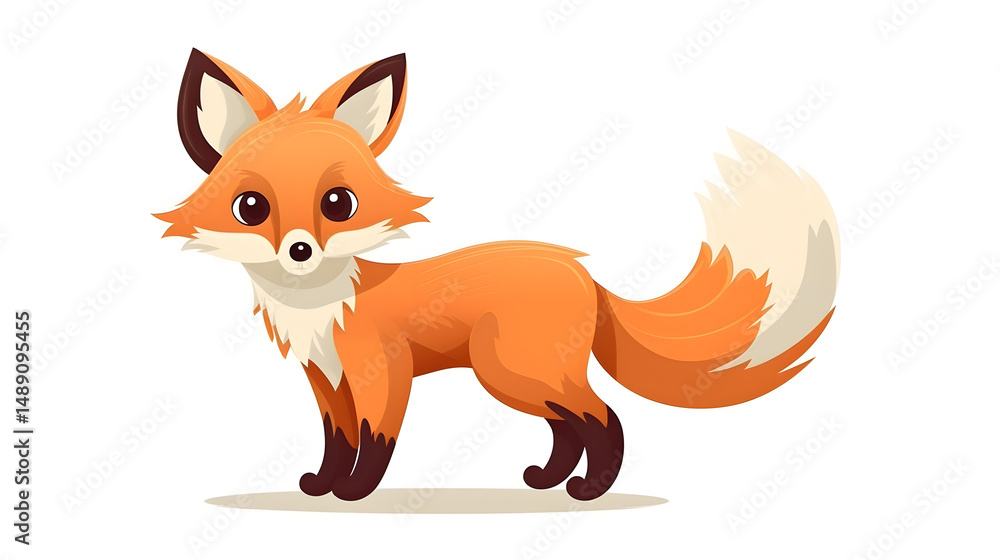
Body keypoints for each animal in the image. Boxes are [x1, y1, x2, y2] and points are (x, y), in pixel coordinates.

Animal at [156, 49, 840, 502]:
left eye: (338, 203)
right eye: (251, 208)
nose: (299, 250)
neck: (322, 308)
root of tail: (584, 274)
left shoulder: (381, 373)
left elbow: (374, 442)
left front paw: (354, 493)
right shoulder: (327, 381)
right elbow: (337, 440)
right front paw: (321, 485)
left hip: (508, 369)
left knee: (602, 418)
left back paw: (587, 490)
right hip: (520, 375)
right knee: (570, 426)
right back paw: (548, 480)